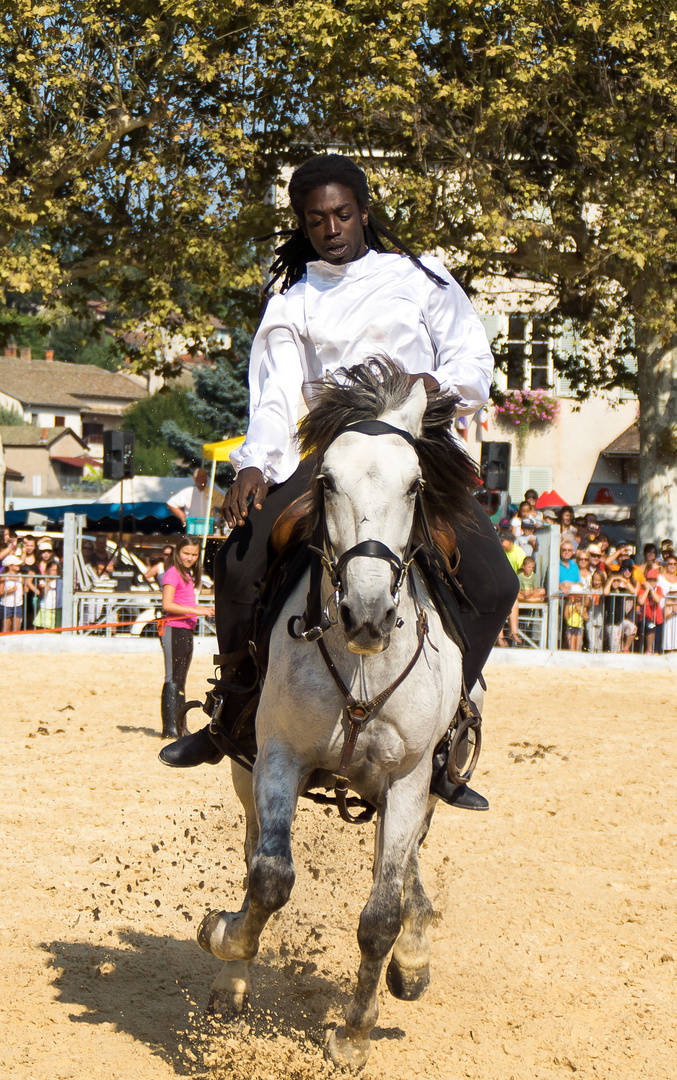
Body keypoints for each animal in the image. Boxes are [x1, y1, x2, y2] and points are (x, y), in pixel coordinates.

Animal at [198, 367, 475, 1067]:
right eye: (326, 481)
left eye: (416, 484)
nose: (368, 614)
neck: (361, 669)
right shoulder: (277, 757)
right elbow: (269, 878)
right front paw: (222, 937)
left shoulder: (409, 779)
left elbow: (380, 916)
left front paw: (353, 1034)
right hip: (245, 768)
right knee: (254, 856)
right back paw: (230, 985)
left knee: (402, 872)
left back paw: (413, 955)